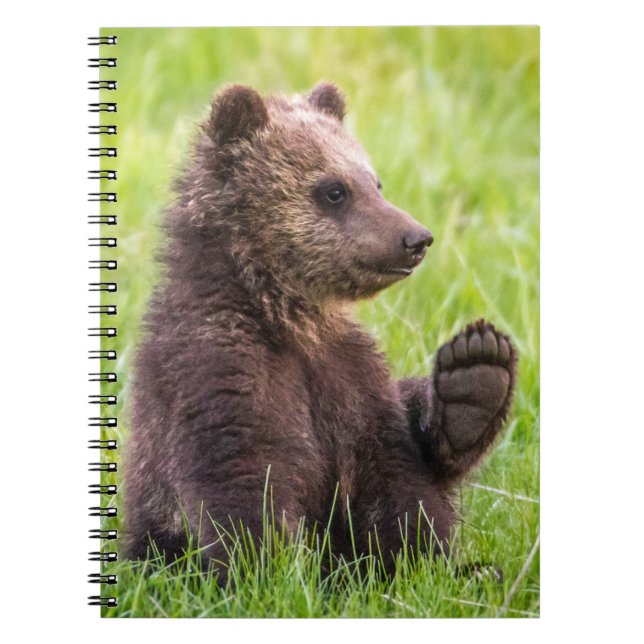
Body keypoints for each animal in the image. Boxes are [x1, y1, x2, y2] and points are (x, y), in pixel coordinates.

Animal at [123, 82, 517, 581]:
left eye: (375, 182)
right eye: (334, 190)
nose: (416, 238)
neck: (289, 317)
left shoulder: (349, 375)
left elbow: (396, 478)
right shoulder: (220, 365)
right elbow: (244, 475)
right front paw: (269, 569)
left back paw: (474, 378)